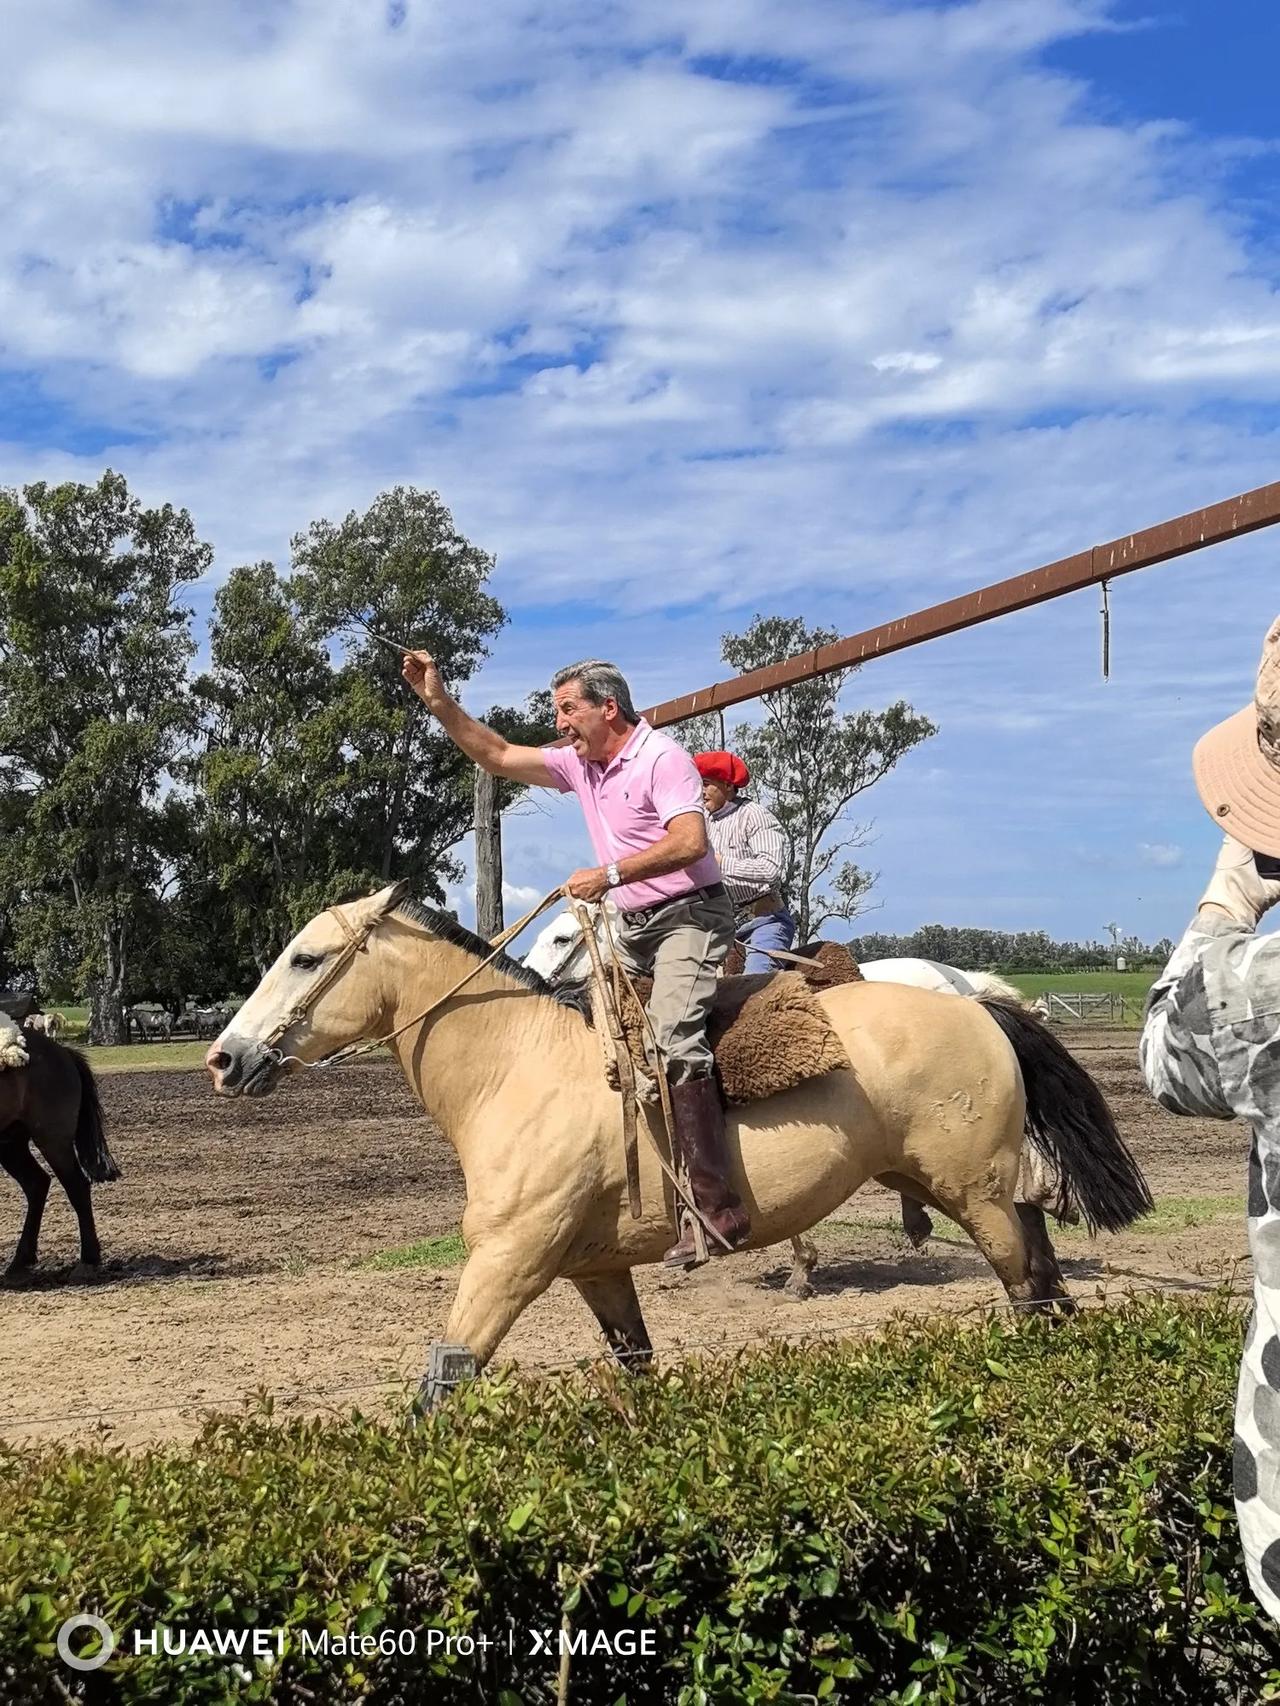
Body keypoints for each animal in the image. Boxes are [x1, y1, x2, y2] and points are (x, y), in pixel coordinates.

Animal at [0, 1023, 120, 1269]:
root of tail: (62, 1051)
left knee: (76, 1186)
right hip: (11, 1145)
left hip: (53, 1141)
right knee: (36, 1183)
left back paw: (88, 1258)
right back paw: (21, 1259)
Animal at [208, 887, 1153, 1392]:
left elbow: (442, 1380)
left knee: (1028, 1289)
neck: (522, 1068)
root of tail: (977, 1004)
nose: (225, 1058)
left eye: (304, 958)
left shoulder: (508, 1263)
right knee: (1046, 1279)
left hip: (978, 1198)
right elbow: (636, 1366)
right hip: (970, 1192)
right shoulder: (595, 1270)